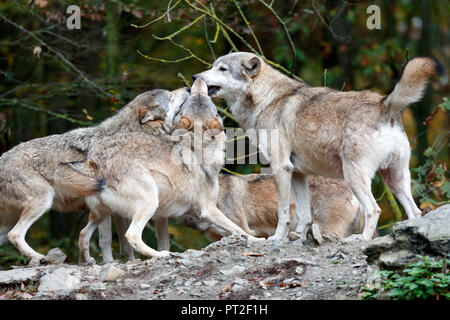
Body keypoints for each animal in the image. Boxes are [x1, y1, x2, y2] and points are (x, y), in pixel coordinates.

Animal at [0, 86, 188, 264]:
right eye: (170, 96)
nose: (187, 88)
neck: (135, 131)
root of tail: (2, 158)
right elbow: (107, 240)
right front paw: (111, 262)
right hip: (43, 201)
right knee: (15, 235)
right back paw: (40, 257)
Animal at [59, 78, 264, 262]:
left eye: (200, 98)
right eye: (212, 106)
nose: (196, 81)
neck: (197, 146)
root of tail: (92, 161)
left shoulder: (165, 215)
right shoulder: (208, 209)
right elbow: (238, 229)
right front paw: (256, 240)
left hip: (103, 214)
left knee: (83, 234)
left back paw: (87, 261)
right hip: (149, 202)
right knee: (131, 235)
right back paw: (160, 256)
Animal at [195, 52, 444, 241]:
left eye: (222, 69)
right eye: (213, 66)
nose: (196, 76)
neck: (267, 100)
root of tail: (385, 104)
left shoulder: (281, 168)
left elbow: (283, 214)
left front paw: (278, 239)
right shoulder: (298, 174)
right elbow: (304, 216)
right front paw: (298, 239)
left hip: (354, 176)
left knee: (374, 209)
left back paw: (361, 240)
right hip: (394, 179)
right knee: (414, 211)